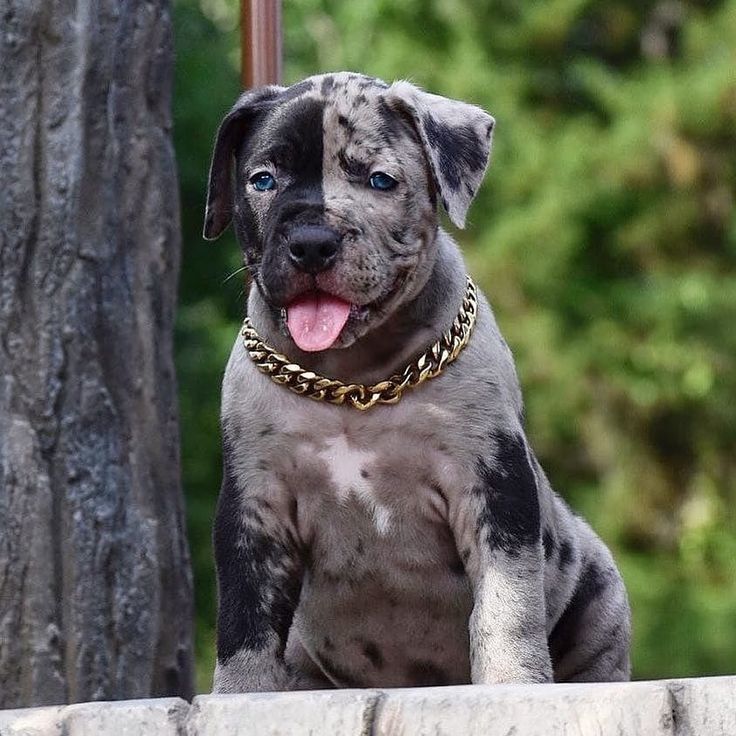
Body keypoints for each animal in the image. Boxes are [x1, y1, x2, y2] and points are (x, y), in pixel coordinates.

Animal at [203, 72, 632, 692]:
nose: (312, 241)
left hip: (600, 591)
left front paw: (514, 683)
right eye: (263, 180)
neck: (354, 380)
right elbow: (245, 623)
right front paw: (241, 697)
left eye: (381, 181)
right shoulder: (254, 507)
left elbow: (506, 603)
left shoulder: (493, 485)